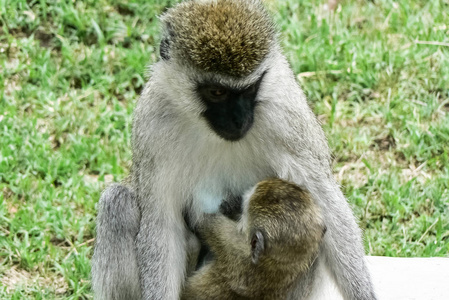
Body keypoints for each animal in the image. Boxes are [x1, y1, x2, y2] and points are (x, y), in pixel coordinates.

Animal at [91, 0, 374, 300]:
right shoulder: (152, 122)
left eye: (250, 88)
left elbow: (326, 201)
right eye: (217, 92)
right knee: (117, 202)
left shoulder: (288, 111)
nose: (239, 120)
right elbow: (161, 225)